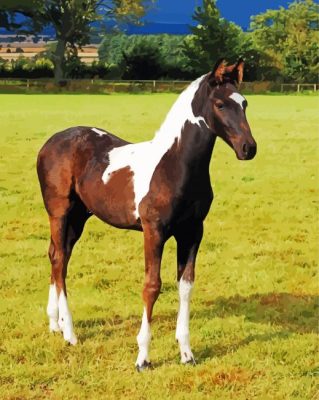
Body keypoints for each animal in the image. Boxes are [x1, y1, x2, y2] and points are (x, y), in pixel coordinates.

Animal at [37, 57, 258, 370]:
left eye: (245, 103)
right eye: (220, 104)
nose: (248, 148)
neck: (175, 165)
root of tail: (50, 142)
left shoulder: (193, 231)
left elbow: (185, 285)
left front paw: (187, 353)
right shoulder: (154, 231)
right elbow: (152, 286)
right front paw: (143, 357)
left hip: (79, 218)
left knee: (58, 255)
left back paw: (55, 324)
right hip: (59, 212)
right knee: (58, 261)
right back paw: (70, 333)